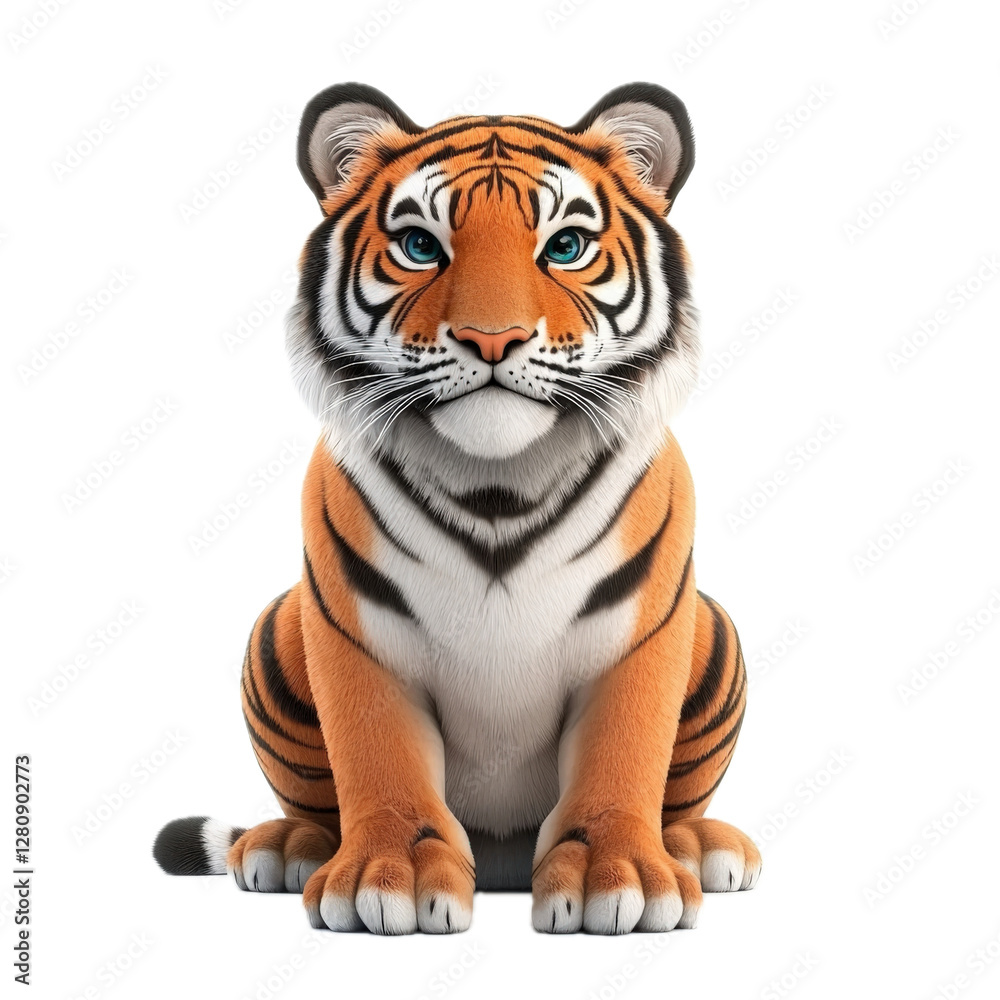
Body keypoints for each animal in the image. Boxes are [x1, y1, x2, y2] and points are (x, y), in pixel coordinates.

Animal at [153, 81, 761, 935]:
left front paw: (619, 879)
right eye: (420, 245)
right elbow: (379, 760)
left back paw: (697, 845)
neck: (498, 483)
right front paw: (392, 879)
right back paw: (290, 846)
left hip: (715, 630)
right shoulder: (359, 636)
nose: (492, 338)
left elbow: (624, 756)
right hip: (278, 625)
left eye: (565, 247)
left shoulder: (639, 636)